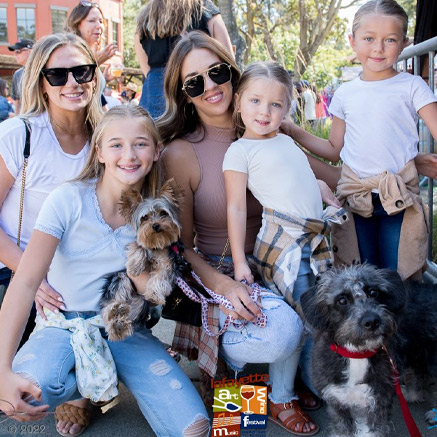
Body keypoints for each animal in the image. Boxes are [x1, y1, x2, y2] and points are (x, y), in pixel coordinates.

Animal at [300, 264, 436, 436]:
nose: (372, 321)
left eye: (373, 292)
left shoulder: (377, 403)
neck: (357, 354)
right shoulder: (336, 401)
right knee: (421, 375)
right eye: (342, 300)